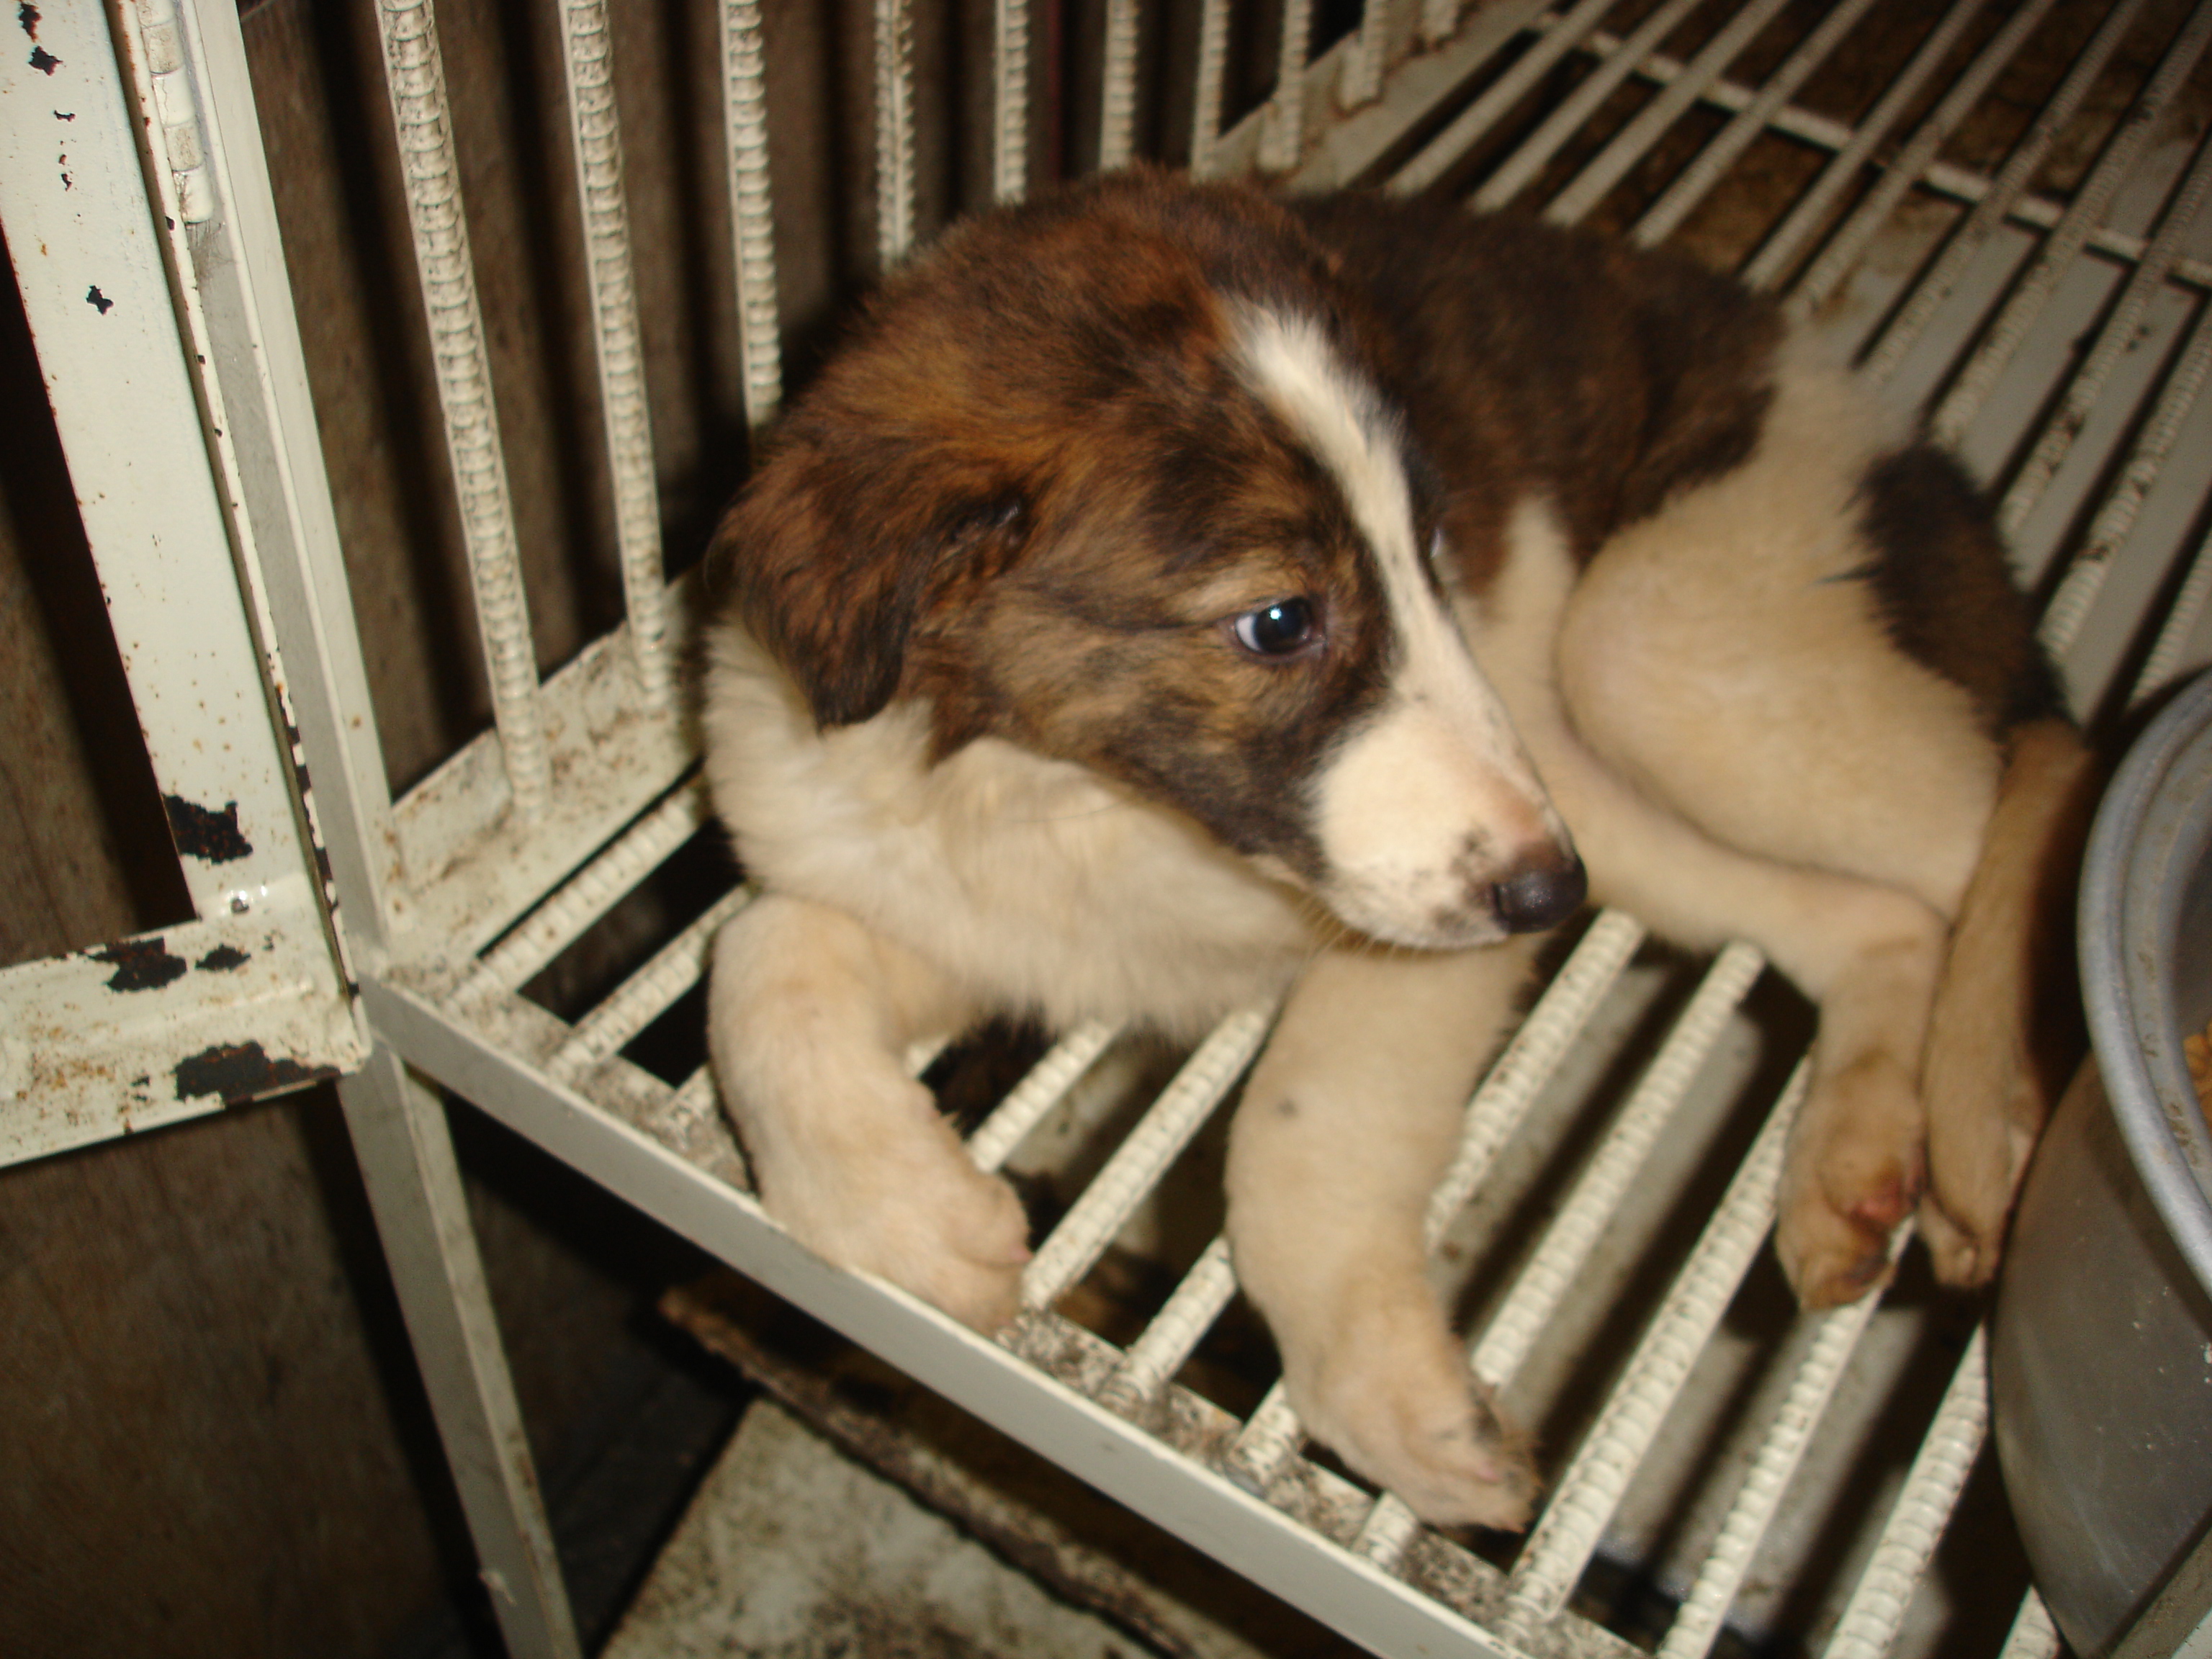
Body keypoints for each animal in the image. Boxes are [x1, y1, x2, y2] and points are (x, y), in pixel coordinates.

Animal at [700, 169, 2092, 1530]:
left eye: (1433, 552)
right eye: (1279, 621)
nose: (1550, 893)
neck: (1080, 798)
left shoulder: (1420, 941)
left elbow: (1300, 1121)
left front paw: (1392, 1400)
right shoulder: (965, 906)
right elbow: (760, 954)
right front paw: (906, 1213)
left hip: (1657, 646)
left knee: (2035, 780)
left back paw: (1998, 1120)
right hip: (1602, 777)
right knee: (1882, 917)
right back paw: (1853, 1168)